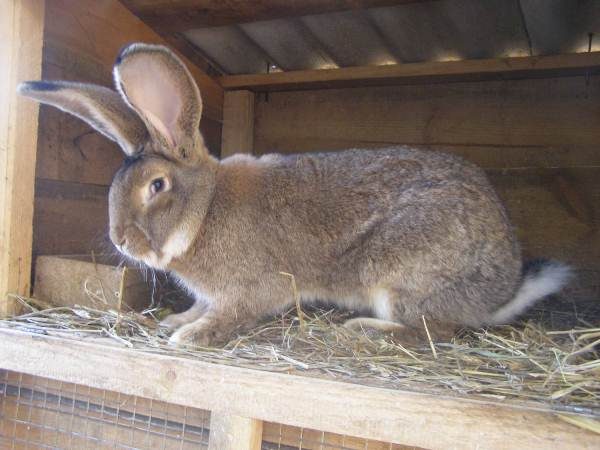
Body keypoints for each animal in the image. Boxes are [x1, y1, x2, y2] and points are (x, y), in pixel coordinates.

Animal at [18, 42, 572, 346]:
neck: (206, 210)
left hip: (403, 274)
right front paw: (177, 319)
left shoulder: (251, 289)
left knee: (436, 331)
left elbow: (232, 314)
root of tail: (500, 291)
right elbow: (202, 305)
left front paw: (190, 335)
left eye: (157, 185)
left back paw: (365, 331)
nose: (121, 240)